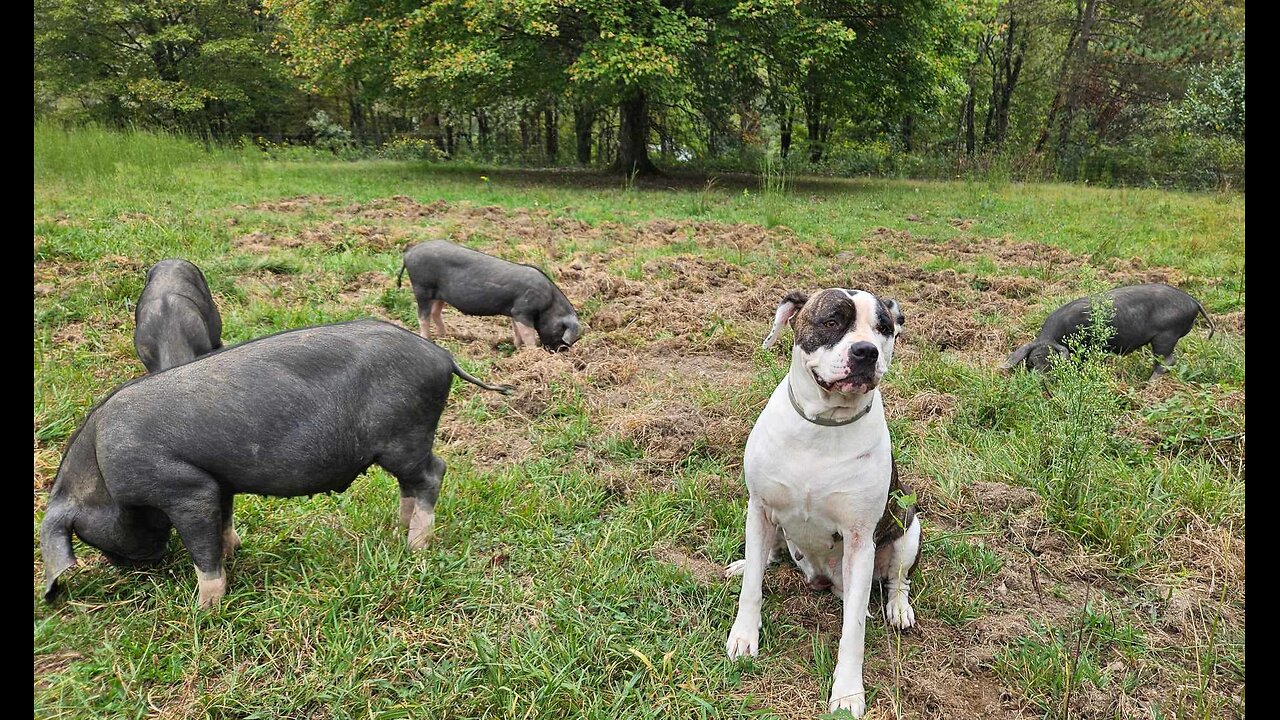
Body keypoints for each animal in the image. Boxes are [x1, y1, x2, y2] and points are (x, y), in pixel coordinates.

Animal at [721, 288, 921, 712]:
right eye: (832, 322)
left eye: (883, 328)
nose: (866, 352)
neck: (824, 425)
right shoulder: (759, 507)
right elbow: (752, 590)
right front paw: (744, 637)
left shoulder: (860, 540)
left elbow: (854, 629)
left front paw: (847, 691)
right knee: (768, 554)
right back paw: (747, 563)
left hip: (907, 523)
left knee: (897, 579)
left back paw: (898, 608)